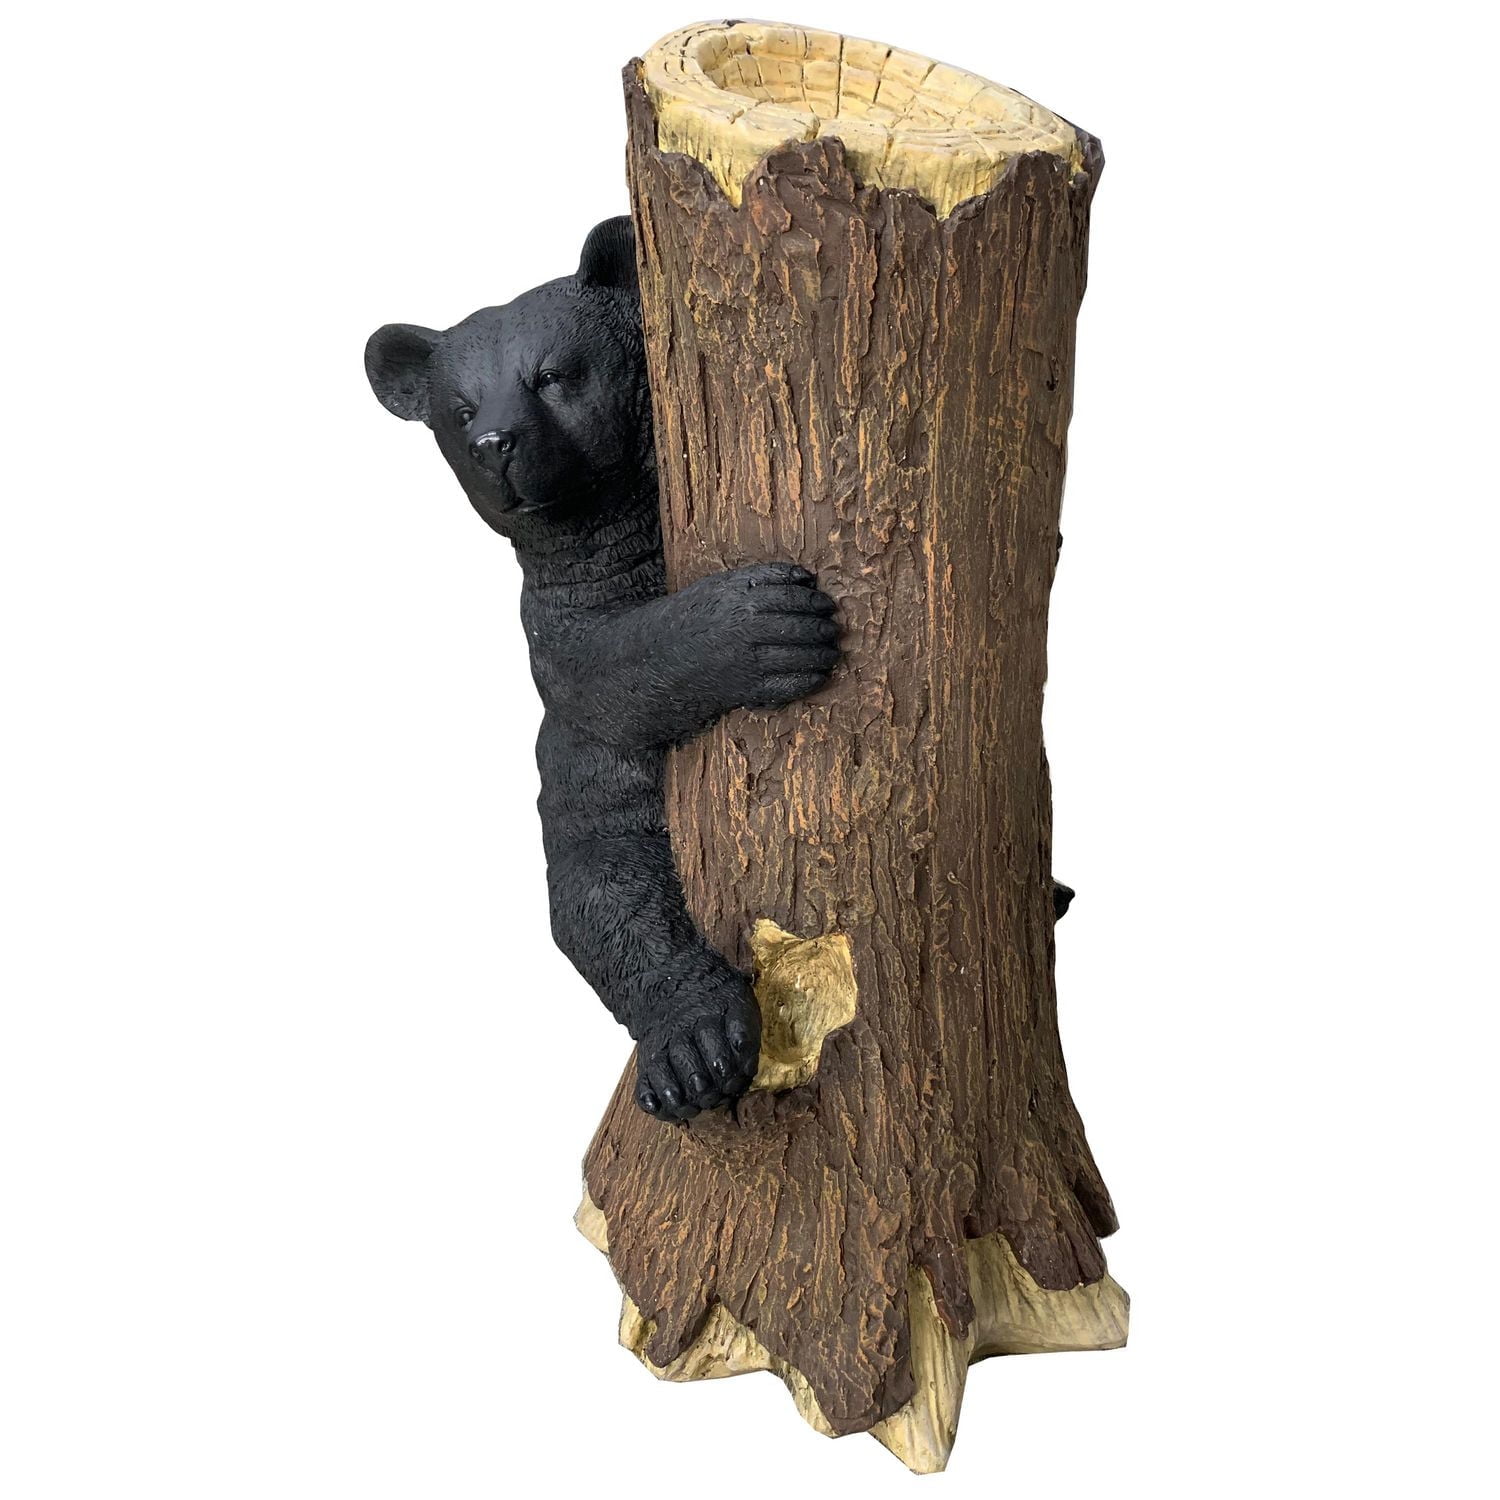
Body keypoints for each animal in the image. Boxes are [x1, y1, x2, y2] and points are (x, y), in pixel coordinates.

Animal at [367, 216, 1075, 1122]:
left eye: (552, 374)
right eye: (458, 410)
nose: (495, 442)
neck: (619, 514)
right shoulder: (564, 628)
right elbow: (617, 666)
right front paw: (769, 625)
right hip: (599, 811)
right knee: (604, 900)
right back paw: (694, 1046)